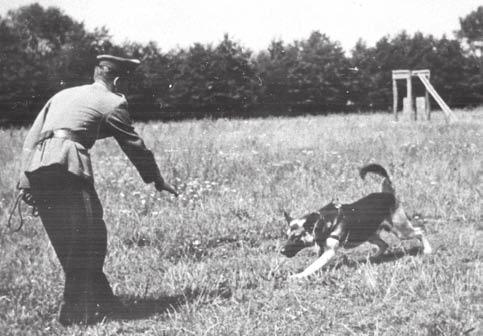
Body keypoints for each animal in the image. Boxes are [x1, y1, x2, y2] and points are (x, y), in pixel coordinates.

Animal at [282, 165, 432, 278]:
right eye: (287, 236)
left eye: (296, 238)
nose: (282, 251)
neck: (323, 222)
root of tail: (388, 194)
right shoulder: (323, 251)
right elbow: (316, 264)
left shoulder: (329, 252)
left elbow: (311, 266)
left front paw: (298, 276)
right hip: (369, 234)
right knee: (384, 245)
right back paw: (371, 258)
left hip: (401, 231)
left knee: (420, 230)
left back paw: (428, 250)